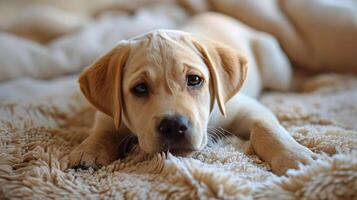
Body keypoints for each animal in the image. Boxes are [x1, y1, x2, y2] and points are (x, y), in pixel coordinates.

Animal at [66, 12, 314, 175]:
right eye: (140, 88)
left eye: (194, 80)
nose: (173, 126)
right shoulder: (110, 113)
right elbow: (102, 131)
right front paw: (87, 150)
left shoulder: (246, 107)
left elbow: (267, 129)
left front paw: (294, 156)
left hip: (275, 66)